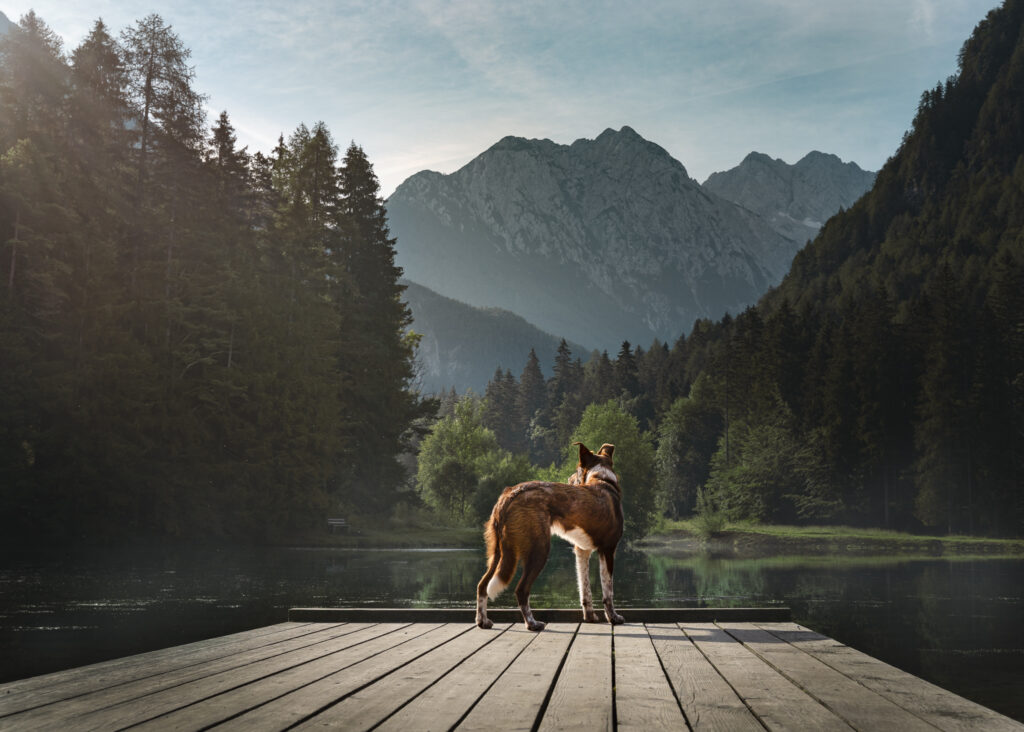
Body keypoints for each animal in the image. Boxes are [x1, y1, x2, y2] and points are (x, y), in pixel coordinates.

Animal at [473, 440, 622, 630]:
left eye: (577, 469)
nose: (569, 480)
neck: (602, 480)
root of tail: (509, 495)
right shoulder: (608, 550)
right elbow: (608, 592)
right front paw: (613, 618)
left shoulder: (581, 551)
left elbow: (585, 590)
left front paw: (590, 617)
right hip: (539, 550)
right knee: (521, 590)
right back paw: (532, 623)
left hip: (498, 553)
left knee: (482, 585)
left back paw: (482, 621)